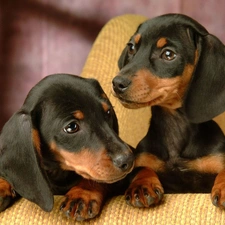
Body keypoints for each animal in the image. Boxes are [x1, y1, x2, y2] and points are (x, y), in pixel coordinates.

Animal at [112, 13, 225, 208]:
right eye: (132, 47)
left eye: (168, 54)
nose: (117, 83)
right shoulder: (145, 160)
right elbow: (142, 169)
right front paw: (142, 185)